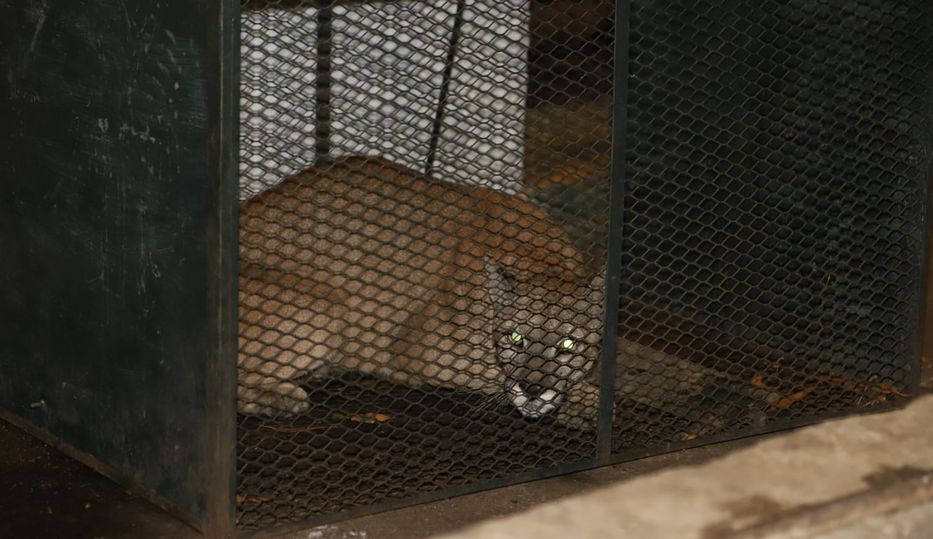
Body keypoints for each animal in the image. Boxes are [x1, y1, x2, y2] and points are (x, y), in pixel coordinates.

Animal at [238, 158, 604, 428]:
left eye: (568, 345)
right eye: (515, 339)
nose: (533, 389)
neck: (542, 263)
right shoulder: (420, 353)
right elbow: (496, 377)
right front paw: (582, 401)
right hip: (325, 306)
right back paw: (287, 399)